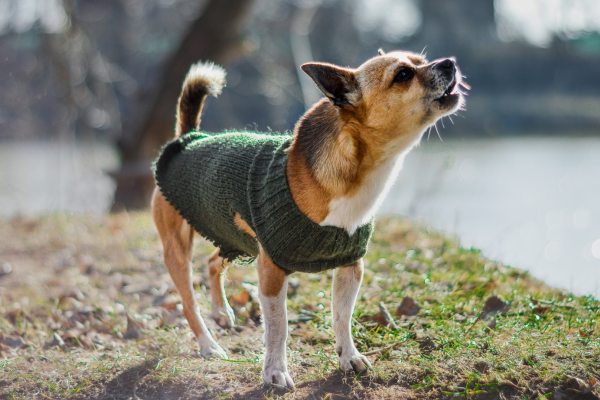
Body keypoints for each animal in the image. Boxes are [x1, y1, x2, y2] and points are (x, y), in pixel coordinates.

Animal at [150, 48, 464, 390]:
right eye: (403, 75)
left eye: (421, 60)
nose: (449, 62)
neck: (356, 177)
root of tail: (189, 136)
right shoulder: (271, 271)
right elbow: (278, 327)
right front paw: (274, 372)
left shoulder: (350, 266)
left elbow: (342, 317)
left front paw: (348, 357)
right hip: (178, 249)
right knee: (188, 302)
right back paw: (208, 344)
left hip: (232, 234)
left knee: (211, 263)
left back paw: (221, 312)